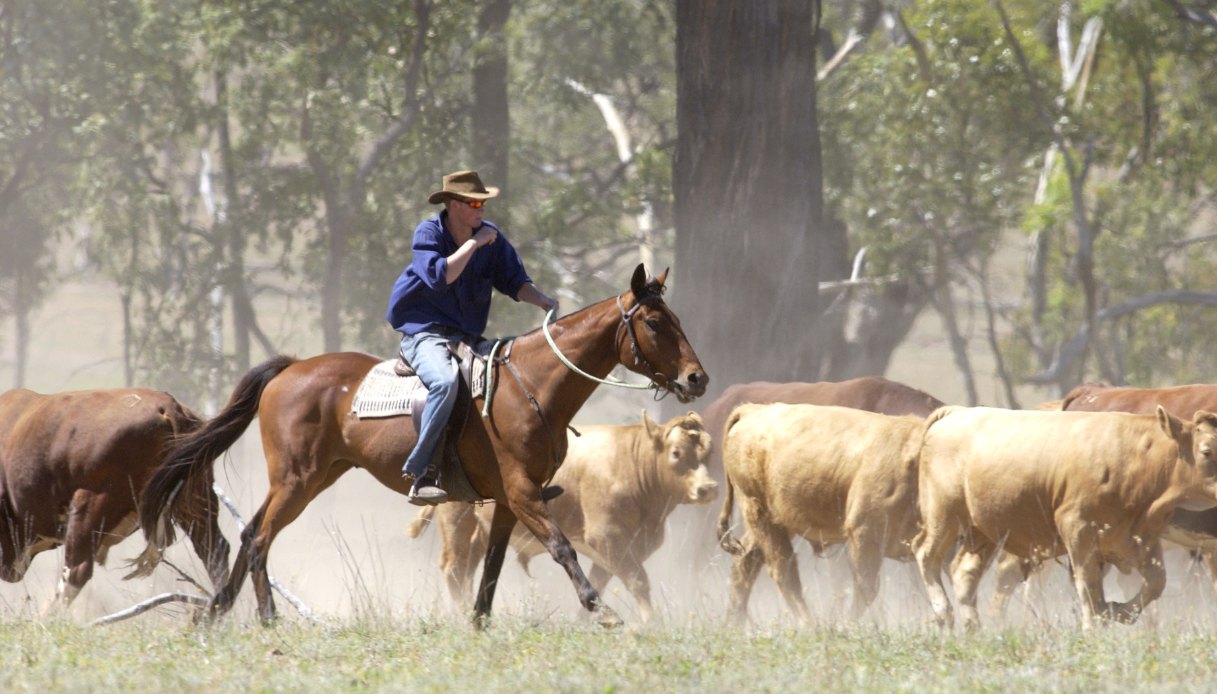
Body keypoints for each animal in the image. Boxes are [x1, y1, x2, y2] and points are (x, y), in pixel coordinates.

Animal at [408, 404, 710, 616]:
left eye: (708, 453)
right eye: (676, 452)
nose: (709, 487)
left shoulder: (621, 548)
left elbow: (603, 581)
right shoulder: (608, 537)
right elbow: (639, 583)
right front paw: (649, 623)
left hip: (480, 528)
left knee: (469, 566)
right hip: (456, 518)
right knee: (455, 567)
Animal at [710, 399, 920, 620]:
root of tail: (752, 410)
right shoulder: (864, 532)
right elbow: (865, 588)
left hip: (776, 521)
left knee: (747, 558)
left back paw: (733, 621)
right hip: (760, 514)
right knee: (783, 571)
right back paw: (809, 623)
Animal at [915, 404, 1217, 628]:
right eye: (1206, 451)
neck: (1136, 461)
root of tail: (956, 412)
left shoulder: (1143, 537)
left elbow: (1155, 583)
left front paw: (1115, 610)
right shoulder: (1078, 530)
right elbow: (1088, 588)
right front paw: (1092, 626)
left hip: (984, 530)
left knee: (964, 574)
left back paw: (973, 630)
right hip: (944, 513)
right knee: (926, 555)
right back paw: (943, 612)